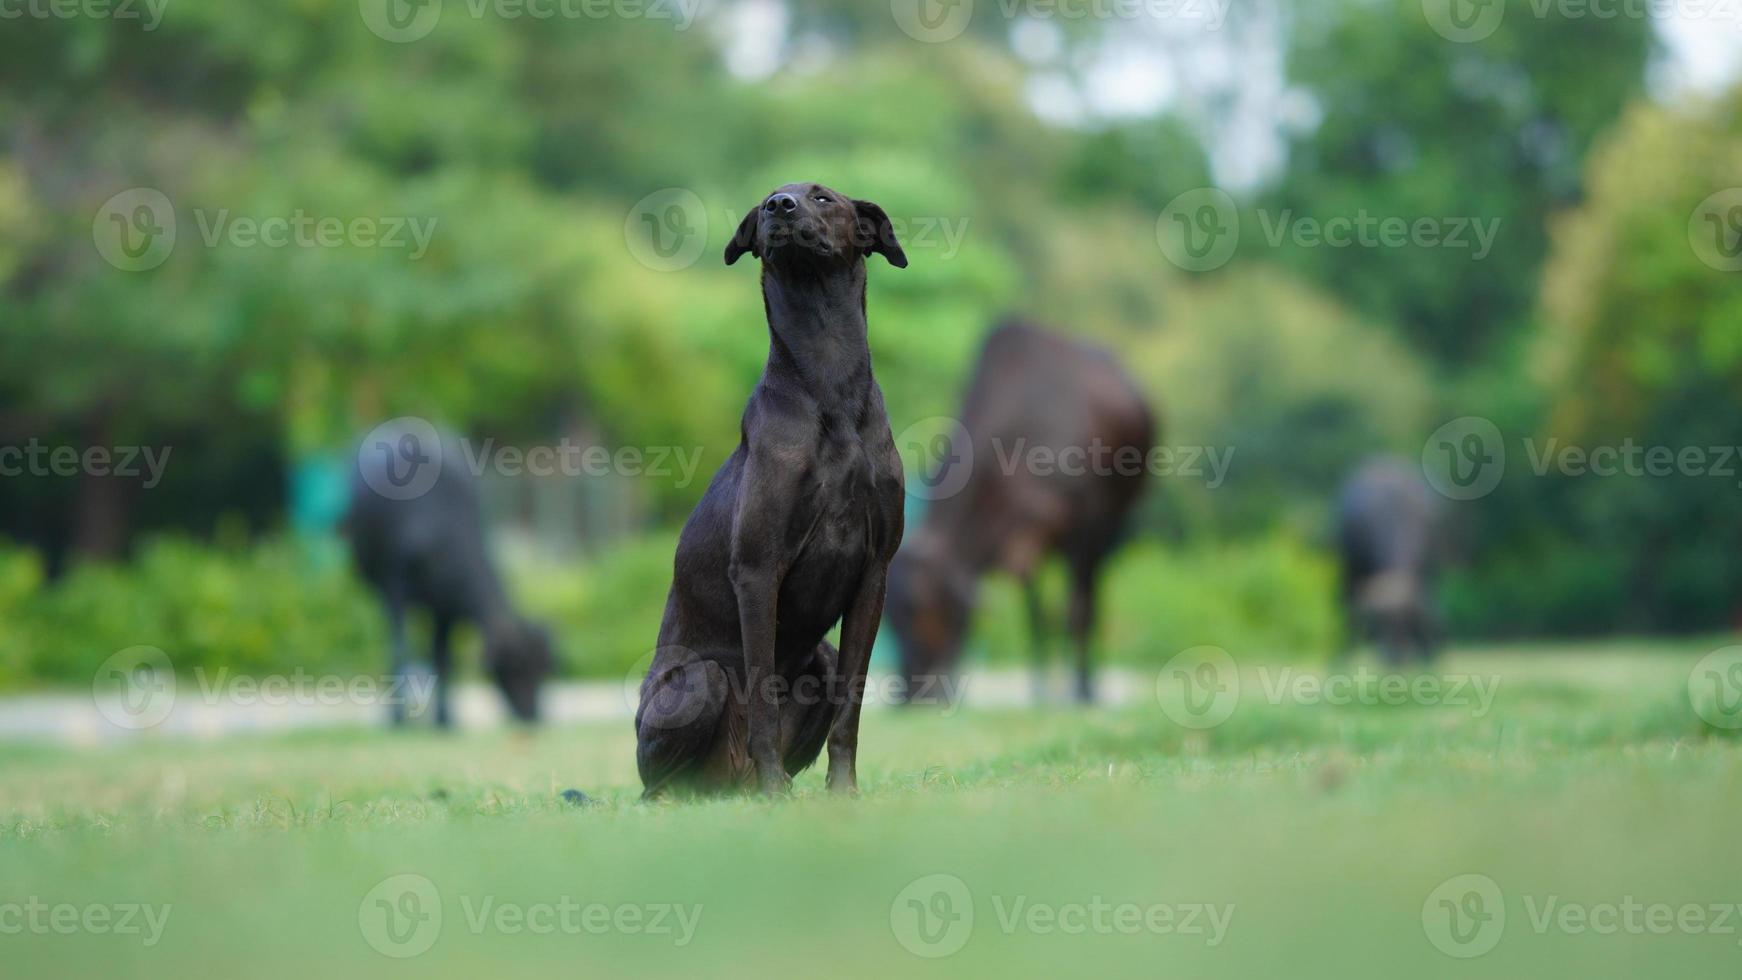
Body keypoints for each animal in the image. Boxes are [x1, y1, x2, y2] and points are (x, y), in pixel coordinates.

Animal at [346, 426, 550, 724]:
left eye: (545, 668)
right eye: (516, 667)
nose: (534, 716)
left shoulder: (446, 607)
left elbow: (444, 659)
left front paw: (445, 718)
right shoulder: (395, 586)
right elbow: (400, 648)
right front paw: (396, 719)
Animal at [641, 184, 912, 797]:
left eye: (824, 198)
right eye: (768, 198)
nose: (780, 207)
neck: (829, 382)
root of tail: (726, 783)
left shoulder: (874, 572)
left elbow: (852, 709)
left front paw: (844, 793)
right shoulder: (759, 571)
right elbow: (763, 696)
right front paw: (775, 792)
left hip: (822, 661)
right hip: (701, 681)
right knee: (656, 785)